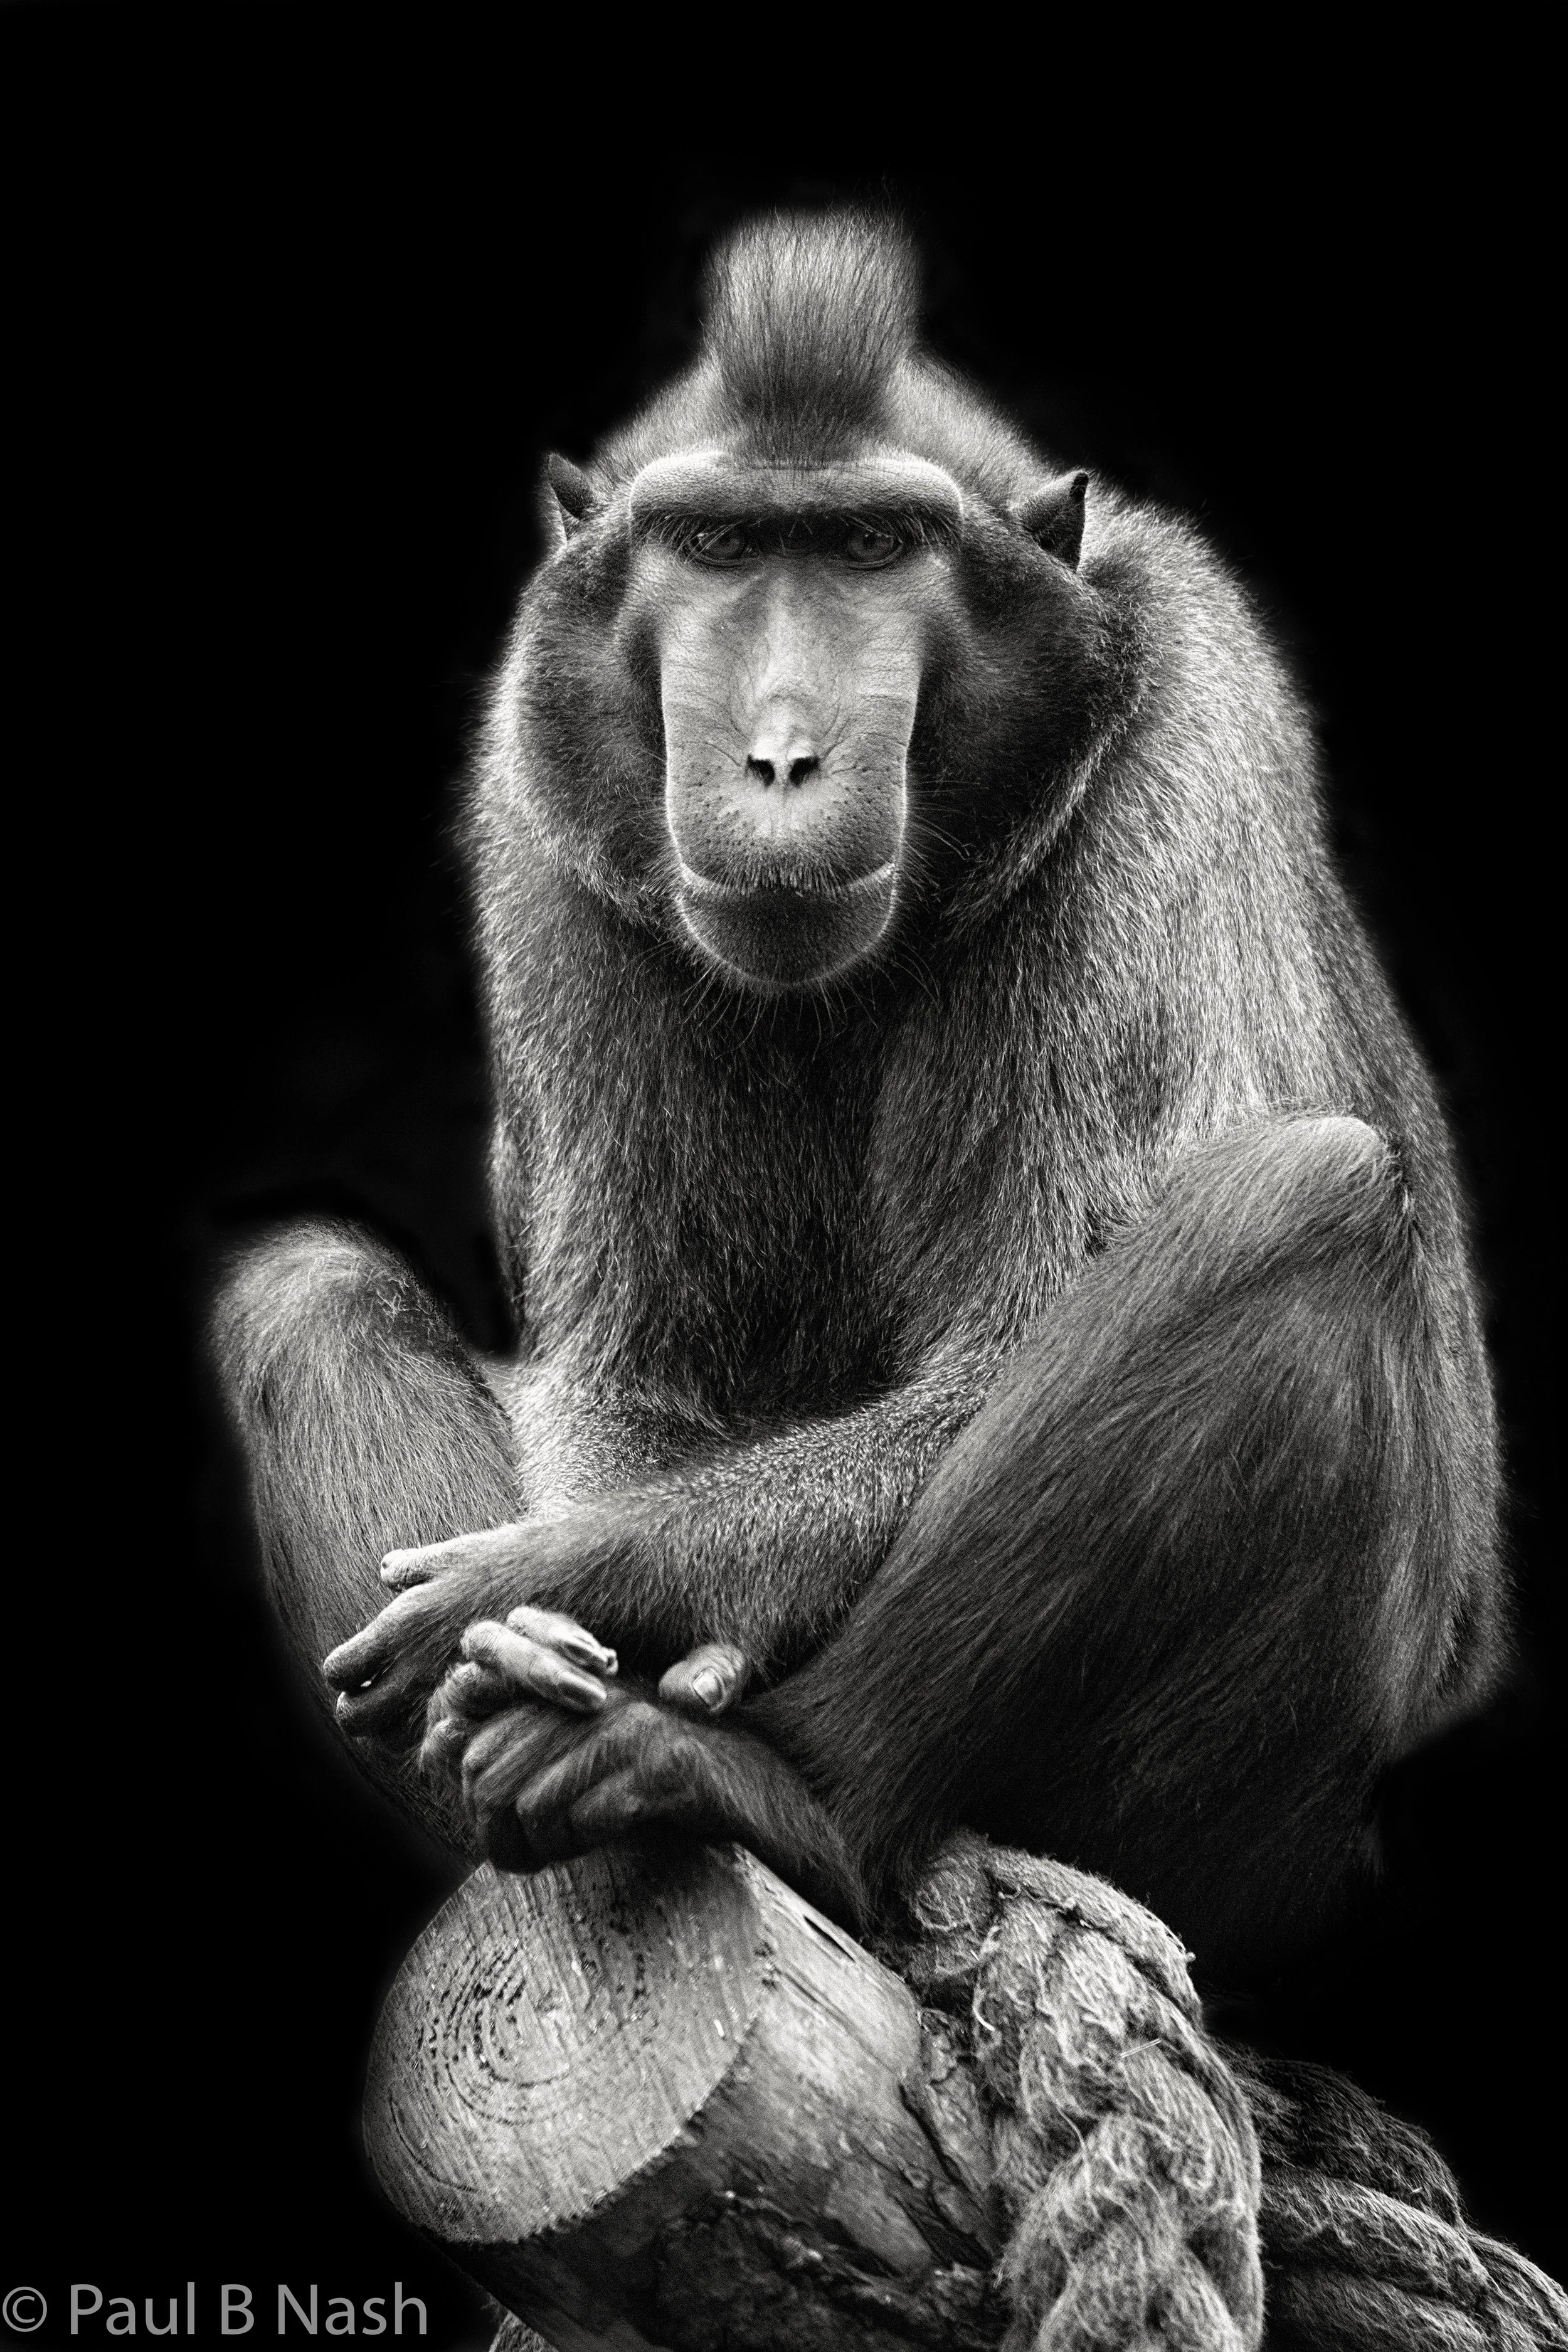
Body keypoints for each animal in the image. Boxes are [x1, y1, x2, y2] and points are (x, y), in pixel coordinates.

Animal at [213, 210, 1504, 1984]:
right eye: (717, 545)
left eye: (873, 548)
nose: (776, 758)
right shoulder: (539, 801)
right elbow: (639, 1388)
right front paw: (552, 1613)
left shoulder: (1181, 719)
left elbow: (1002, 1341)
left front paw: (584, 1576)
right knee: (305, 1290)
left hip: (1256, 1833)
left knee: (1307, 1206)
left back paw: (780, 1785)